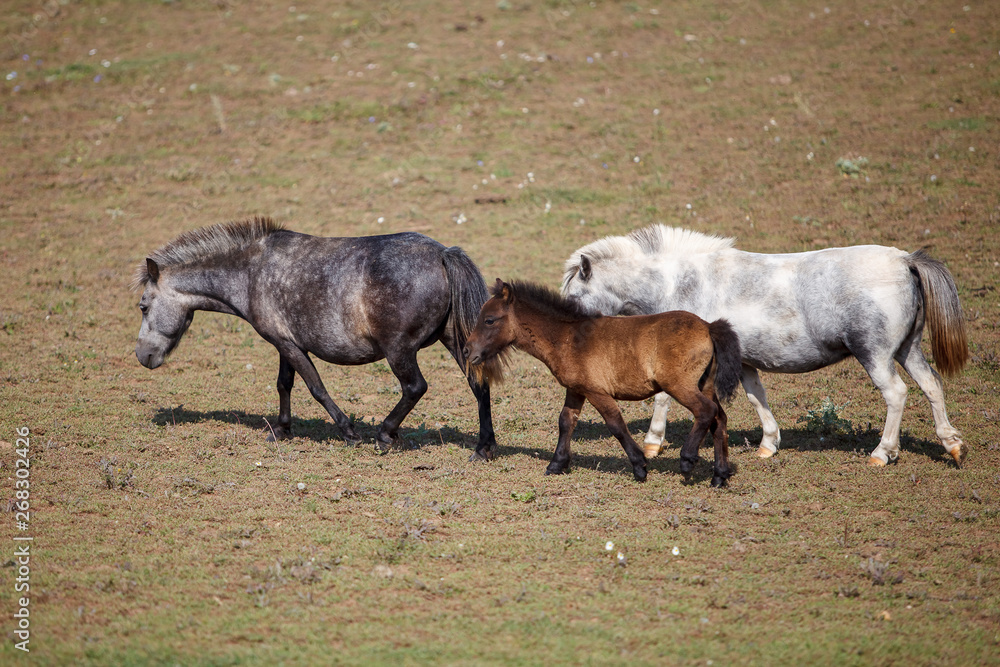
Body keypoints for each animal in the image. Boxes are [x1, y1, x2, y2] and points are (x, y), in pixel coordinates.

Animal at [132, 219, 504, 460]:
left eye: (143, 305)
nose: (142, 356)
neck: (251, 273)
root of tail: (442, 253)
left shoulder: (289, 345)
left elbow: (316, 387)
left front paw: (349, 432)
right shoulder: (285, 344)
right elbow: (284, 384)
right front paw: (282, 430)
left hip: (399, 350)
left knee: (415, 387)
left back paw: (385, 434)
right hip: (457, 342)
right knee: (479, 384)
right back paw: (483, 448)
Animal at [560, 224, 964, 470]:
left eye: (574, 297)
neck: (680, 282)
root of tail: (904, 260)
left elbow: (662, 398)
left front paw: (652, 443)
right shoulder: (744, 361)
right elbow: (757, 398)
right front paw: (769, 444)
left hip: (875, 355)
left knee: (896, 394)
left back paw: (883, 452)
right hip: (908, 350)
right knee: (932, 385)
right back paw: (952, 445)